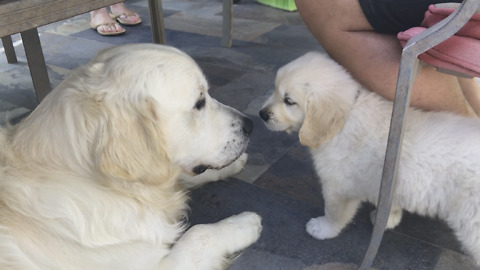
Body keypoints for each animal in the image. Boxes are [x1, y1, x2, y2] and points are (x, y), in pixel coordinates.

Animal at [260, 51, 478, 264]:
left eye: (289, 101)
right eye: (274, 89)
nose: (262, 114)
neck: (344, 119)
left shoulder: (337, 187)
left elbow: (334, 212)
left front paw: (323, 229)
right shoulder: (388, 182)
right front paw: (389, 218)